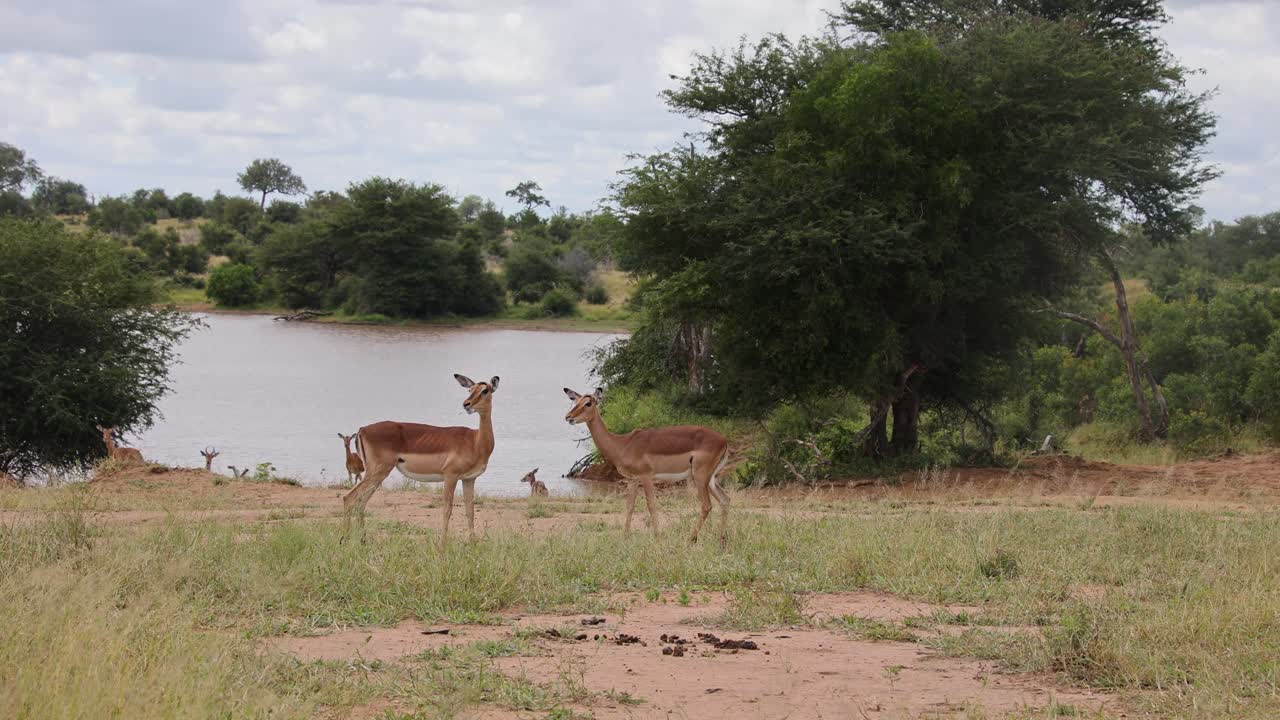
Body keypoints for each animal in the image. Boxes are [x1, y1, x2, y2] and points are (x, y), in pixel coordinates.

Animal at [341, 374, 499, 544]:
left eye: (484, 390)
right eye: (470, 389)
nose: (466, 404)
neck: (475, 441)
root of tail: (362, 429)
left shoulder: (469, 479)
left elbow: (470, 511)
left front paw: (473, 544)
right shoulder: (450, 476)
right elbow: (447, 509)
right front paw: (442, 545)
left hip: (377, 475)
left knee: (361, 502)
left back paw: (363, 540)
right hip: (377, 471)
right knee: (349, 498)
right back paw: (344, 540)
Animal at [563, 387, 730, 544]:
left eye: (588, 403)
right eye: (575, 401)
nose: (568, 417)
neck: (622, 444)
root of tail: (724, 441)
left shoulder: (646, 477)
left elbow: (651, 505)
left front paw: (657, 538)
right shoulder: (632, 479)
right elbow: (630, 506)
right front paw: (625, 538)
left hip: (700, 476)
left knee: (707, 505)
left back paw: (691, 539)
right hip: (711, 479)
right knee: (725, 499)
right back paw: (721, 540)